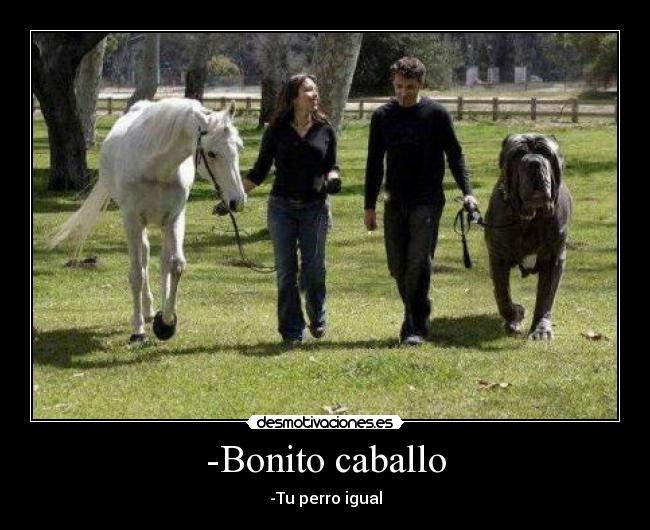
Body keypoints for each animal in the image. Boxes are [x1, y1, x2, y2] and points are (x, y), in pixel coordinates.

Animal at [49, 97, 247, 342]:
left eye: (239, 147)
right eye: (211, 153)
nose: (237, 201)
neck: (155, 168)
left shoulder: (174, 218)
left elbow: (176, 265)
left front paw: (167, 322)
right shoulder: (132, 221)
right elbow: (136, 273)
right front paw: (138, 330)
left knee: (162, 262)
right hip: (139, 226)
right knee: (143, 259)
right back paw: (146, 311)